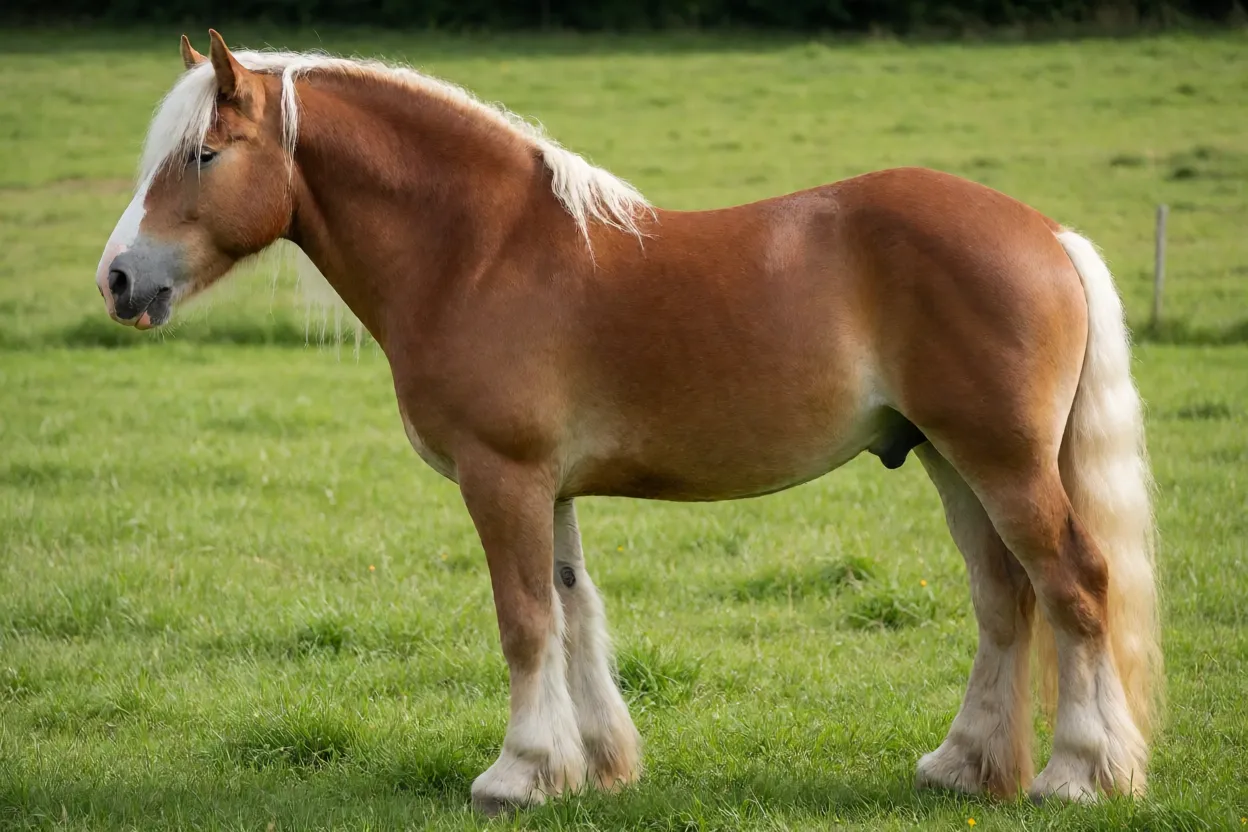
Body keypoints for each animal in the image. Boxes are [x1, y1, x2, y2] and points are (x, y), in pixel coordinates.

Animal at [94, 31, 1162, 812]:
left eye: (202, 156)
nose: (117, 280)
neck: (478, 251)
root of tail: (1049, 235)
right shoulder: (549, 487)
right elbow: (572, 612)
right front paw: (593, 764)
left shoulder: (503, 476)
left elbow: (524, 619)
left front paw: (517, 774)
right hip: (949, 458)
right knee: (1004, 599)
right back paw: (964, 766)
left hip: (1004, 463)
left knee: (1075, 585)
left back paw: (1078, 774)